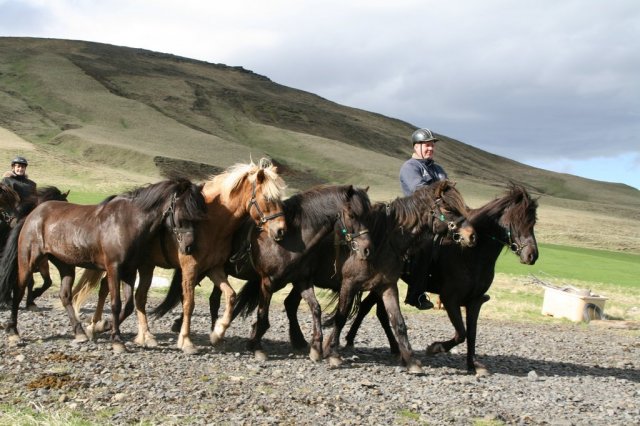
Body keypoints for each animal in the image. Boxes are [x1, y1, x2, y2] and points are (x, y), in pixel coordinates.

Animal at [0, 178, 205, 352]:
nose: (189, 247)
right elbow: (116, 304)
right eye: (183, 213)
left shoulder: (129, 271)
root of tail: (33, 214)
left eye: (198, 216)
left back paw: (80, 332)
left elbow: (128, 305)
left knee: (65, 296)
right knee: (19, 291)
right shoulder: (114, 269)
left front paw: (101, 327)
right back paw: (13, 332)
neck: (127, 222)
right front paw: (116, 340)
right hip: (29, 261)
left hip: (65, 265)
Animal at [342, 184, 536, 376]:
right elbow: (461, 333)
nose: (532, 255)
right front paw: (435, 348)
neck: (470, 254)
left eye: (533, 222)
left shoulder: (475, 302)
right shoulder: (450, 300)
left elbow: (472, 334)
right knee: (369, 308)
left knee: (375, 310)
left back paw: (393, 350)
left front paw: (473, 365)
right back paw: (354, 342)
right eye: (516, 220)